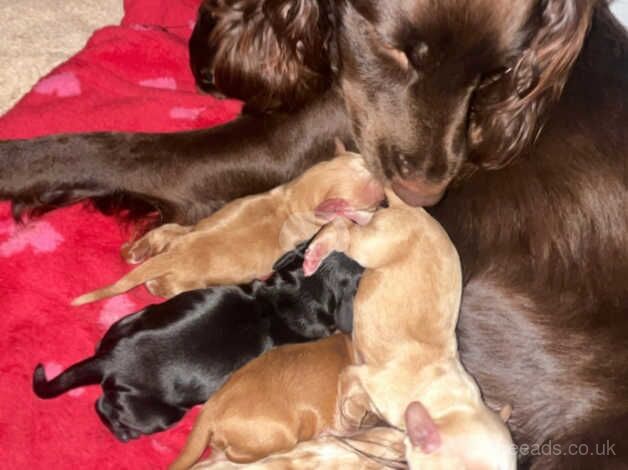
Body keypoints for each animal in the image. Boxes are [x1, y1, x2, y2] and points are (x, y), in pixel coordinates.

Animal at [30, 244, 364, 442]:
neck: (287, 298)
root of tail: (108, 360)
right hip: (159, 414)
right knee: (102, 406)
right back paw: (123, 433)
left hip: (132, 319)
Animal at [70, 144, 380, 304]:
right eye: (375, 202)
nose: (387, 199)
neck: (296, 197)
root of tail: (177, 254)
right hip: (183, 282)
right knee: (162, 286)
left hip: (178, 233)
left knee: (162, 233)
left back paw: (135, 251)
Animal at [304, 191, 516, 470]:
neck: (450, 407)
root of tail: (417, 211)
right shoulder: (359, 375)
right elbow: (349, 407)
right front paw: (349, 425)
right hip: (374, 245)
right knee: (345, 231)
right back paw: (317, 249)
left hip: (378, 230)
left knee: (360, 216)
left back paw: (334, 210)